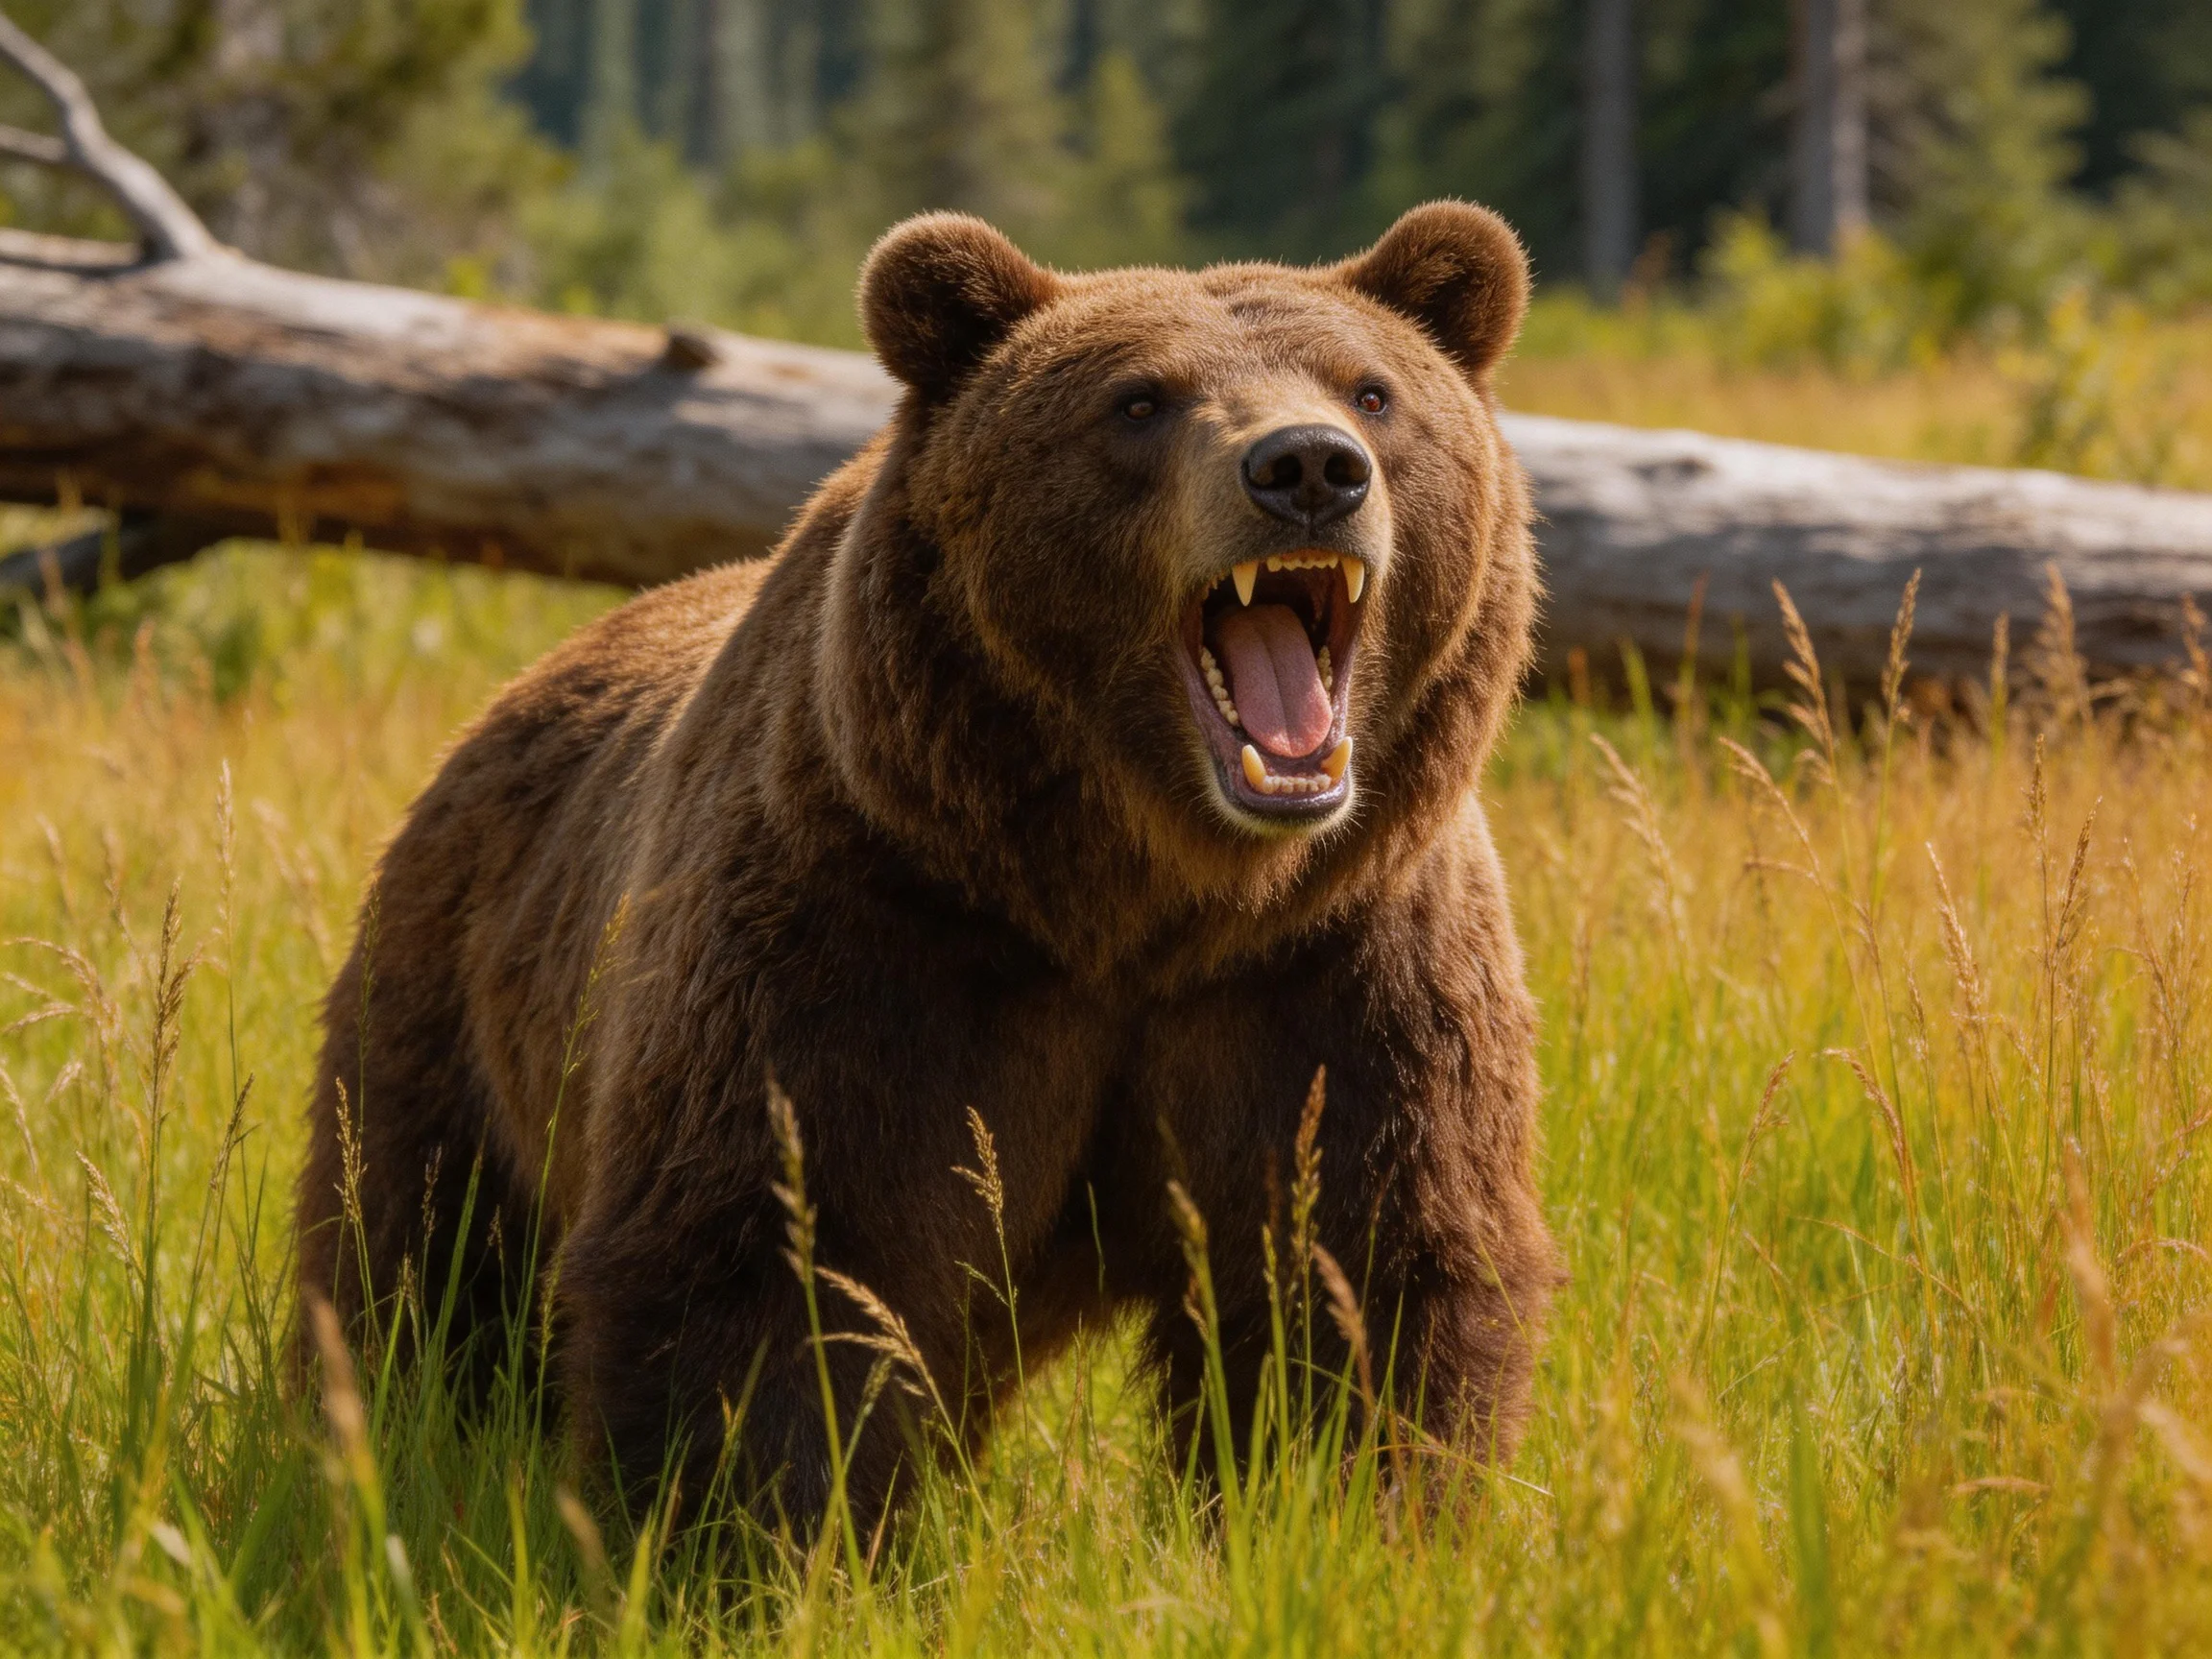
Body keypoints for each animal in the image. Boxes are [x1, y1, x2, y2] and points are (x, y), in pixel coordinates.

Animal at [296, 199, 1560, 1533]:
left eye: (1372, 390)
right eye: (1139, 400)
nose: (1307, 469)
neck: (1145, 895)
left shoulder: (1337, 971)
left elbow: (1363, 1279)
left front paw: (1343, 1517)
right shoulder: (869, 930)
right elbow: (779, 1266)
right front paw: (751, 1538)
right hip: (455, 998)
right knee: (415, 1255)